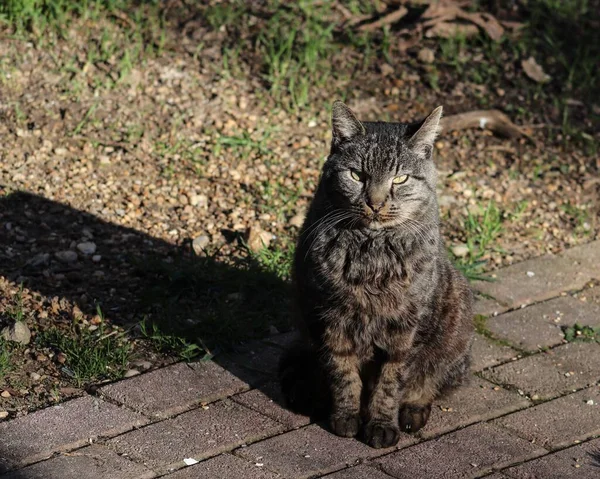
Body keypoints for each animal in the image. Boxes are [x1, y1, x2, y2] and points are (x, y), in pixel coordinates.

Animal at [280, 101, 474, 450]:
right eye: (357, 175)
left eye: (400, 179)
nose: (375, 202)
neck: (372, 256)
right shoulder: (330, 318)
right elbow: (342, 372)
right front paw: (346, 417)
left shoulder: (406, 330)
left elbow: (391, 382)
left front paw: (381, 424)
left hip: (456, 324)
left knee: (432, 381)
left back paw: (413, 412)